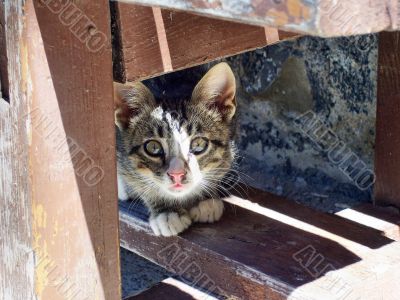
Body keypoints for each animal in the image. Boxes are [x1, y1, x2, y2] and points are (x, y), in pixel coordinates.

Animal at [114, 62, 236, 237]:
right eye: (153, 147)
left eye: (198, 145)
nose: (177, 175)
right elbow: (140, 181)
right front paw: (167, 211)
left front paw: (205, 198)